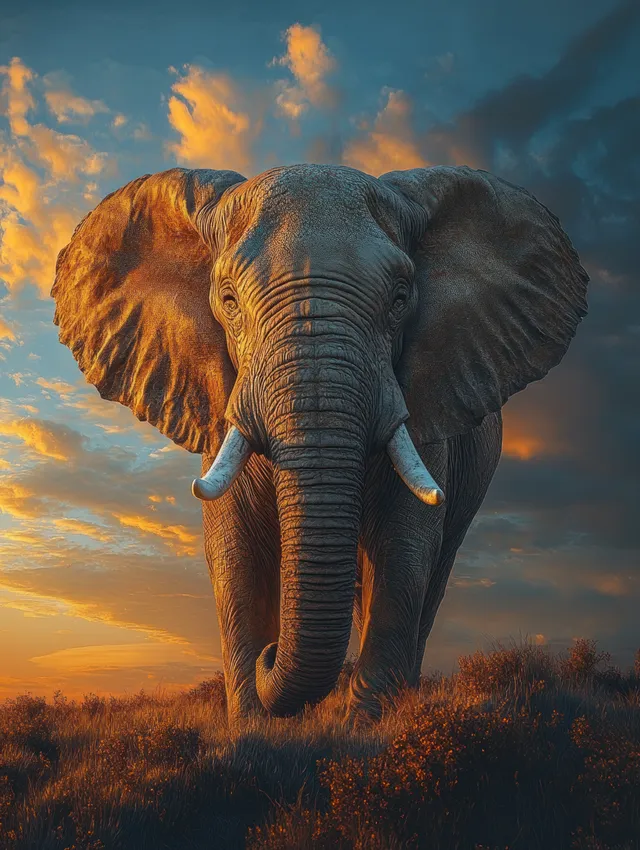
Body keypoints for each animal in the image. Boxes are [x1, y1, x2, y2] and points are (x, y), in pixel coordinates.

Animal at [51, 163, 588, 722]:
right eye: (228, 301)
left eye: (400, 298)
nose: (271, 655)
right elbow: (235, 554)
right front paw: (254, 729)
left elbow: (403, 550)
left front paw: (362, 729)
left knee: (431, 571)